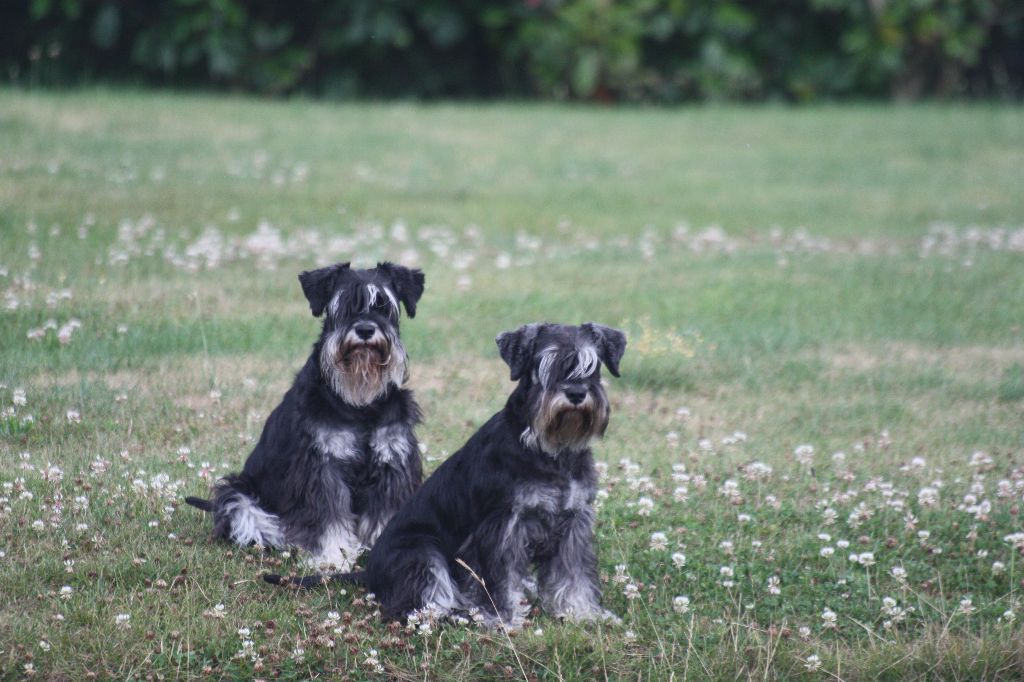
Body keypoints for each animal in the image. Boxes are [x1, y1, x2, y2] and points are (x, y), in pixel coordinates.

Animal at [187, 260, 423, 569]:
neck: (360, 403)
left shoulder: (392, 461)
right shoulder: (321, 468)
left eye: (384, 306)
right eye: (341, 306)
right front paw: (331, 559)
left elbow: (385, 513)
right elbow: (328, 518)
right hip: (237, 495)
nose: (365, 330)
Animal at [266, 319, 622, 626]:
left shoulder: (574, 522)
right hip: (423, 553)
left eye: (593, 367)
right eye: (542, 366)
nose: (576, 394)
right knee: (418, 605)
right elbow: (499, 579)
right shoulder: (502, 527)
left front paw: (583, 613)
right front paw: (504, 619)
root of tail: (367, 572)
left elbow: (574, 574)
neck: (551, 452)